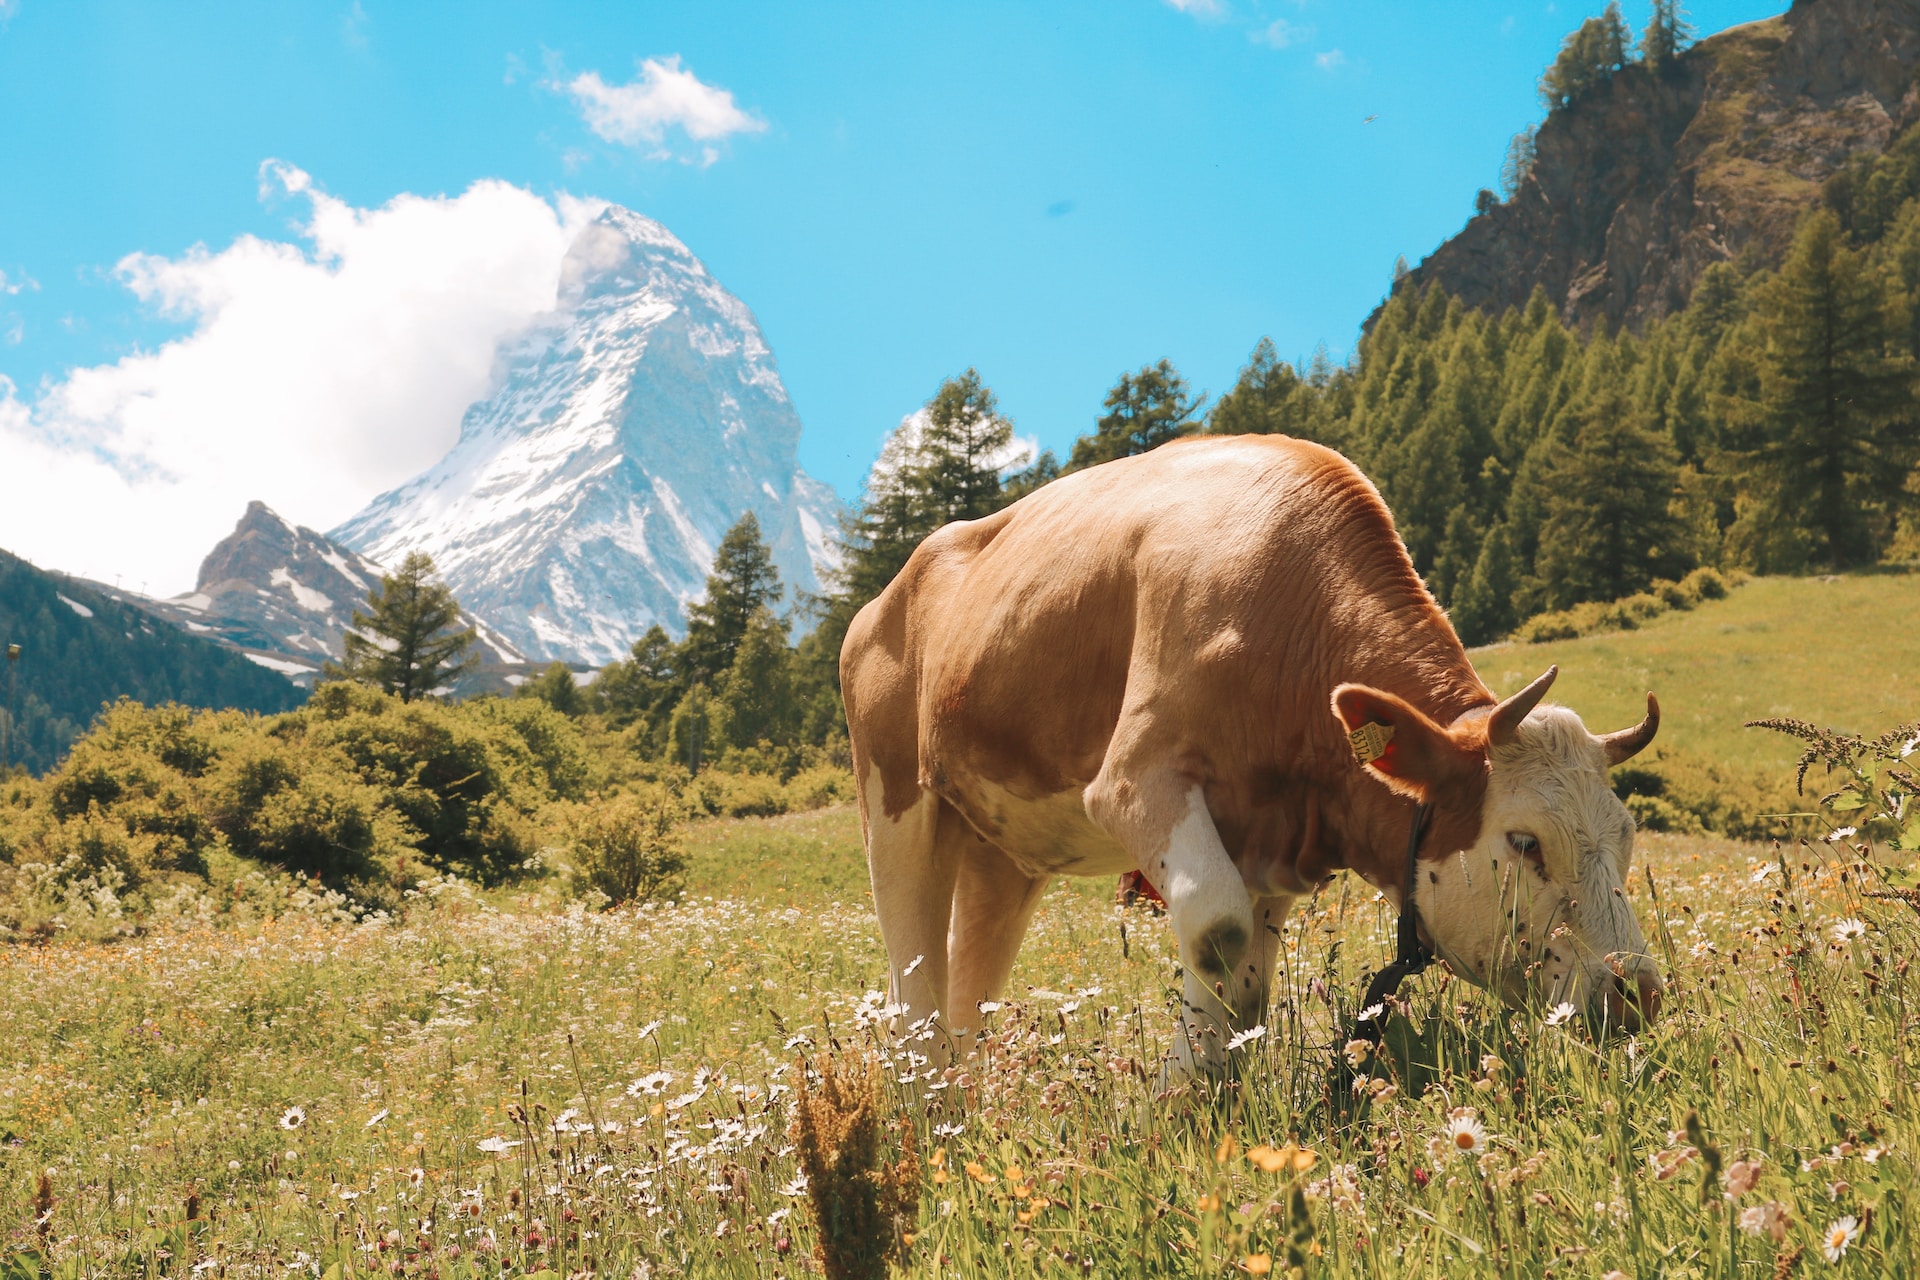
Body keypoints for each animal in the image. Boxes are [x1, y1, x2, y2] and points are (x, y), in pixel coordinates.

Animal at [840, 433, 1666, 1082]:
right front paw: (1174, 1109)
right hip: (897, 810)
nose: (1639, 994)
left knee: (965, 1000)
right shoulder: (1137, 780)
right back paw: (922, 1124)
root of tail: (883, 598)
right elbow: (1219, 936)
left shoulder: (1269, 847)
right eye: (1525, 842)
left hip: (1004, 852)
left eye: (1626, 838)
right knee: (914, 992)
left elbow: (1246, 985)